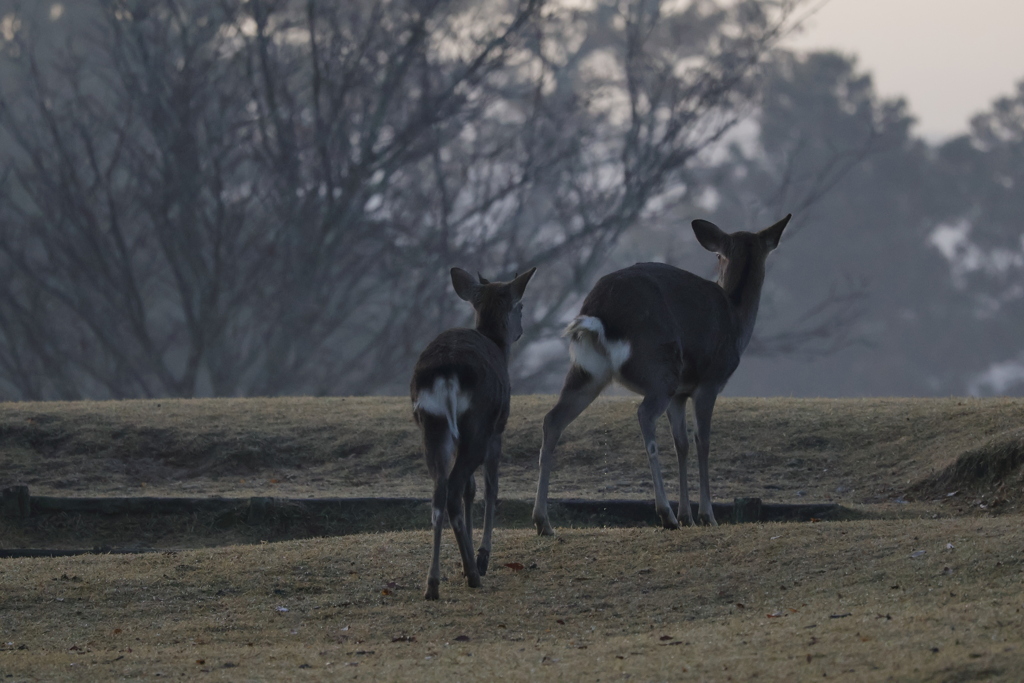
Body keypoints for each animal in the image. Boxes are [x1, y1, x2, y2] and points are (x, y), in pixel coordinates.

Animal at [409, 266, 536, 598]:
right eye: (521, 306)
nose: (521, 330)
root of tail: (446, 372)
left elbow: (472, 488)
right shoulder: (498, 429)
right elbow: (491, 487)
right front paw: (483, 556)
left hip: (433, 425)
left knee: (439, 492)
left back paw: (433, 582)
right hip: (478, 423)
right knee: (453, 490)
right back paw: (472, 572)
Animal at [532, 216, 786, 536]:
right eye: (717, 256)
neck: (736, 319)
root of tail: (598, 314)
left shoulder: (680, 394)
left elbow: (682, 444)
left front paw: (689, 515)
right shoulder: (709, 382)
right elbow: (702, 440)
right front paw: (706, 515)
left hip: (587, 372)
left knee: (552, 420)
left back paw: (543, 522)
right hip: (659, 369)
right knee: (644, 415)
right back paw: (666, 514)